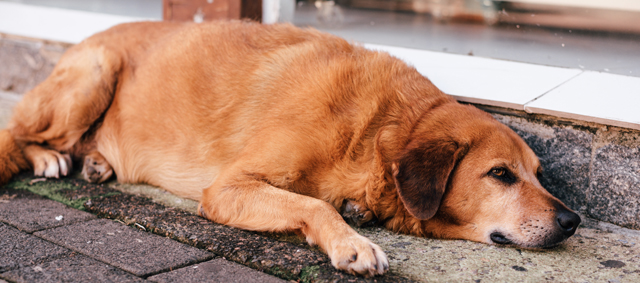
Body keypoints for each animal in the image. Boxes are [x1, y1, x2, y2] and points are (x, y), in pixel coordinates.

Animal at [0, 20, 580, 278]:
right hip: (93, 76)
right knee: (17, 133)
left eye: (538, 173)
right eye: (501, 174)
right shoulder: (227, 187)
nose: (573, 221)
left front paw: (357, 213)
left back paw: (93, 161)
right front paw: (352, 242)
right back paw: (51, 157)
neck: (375, 128)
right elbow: (314, 204)